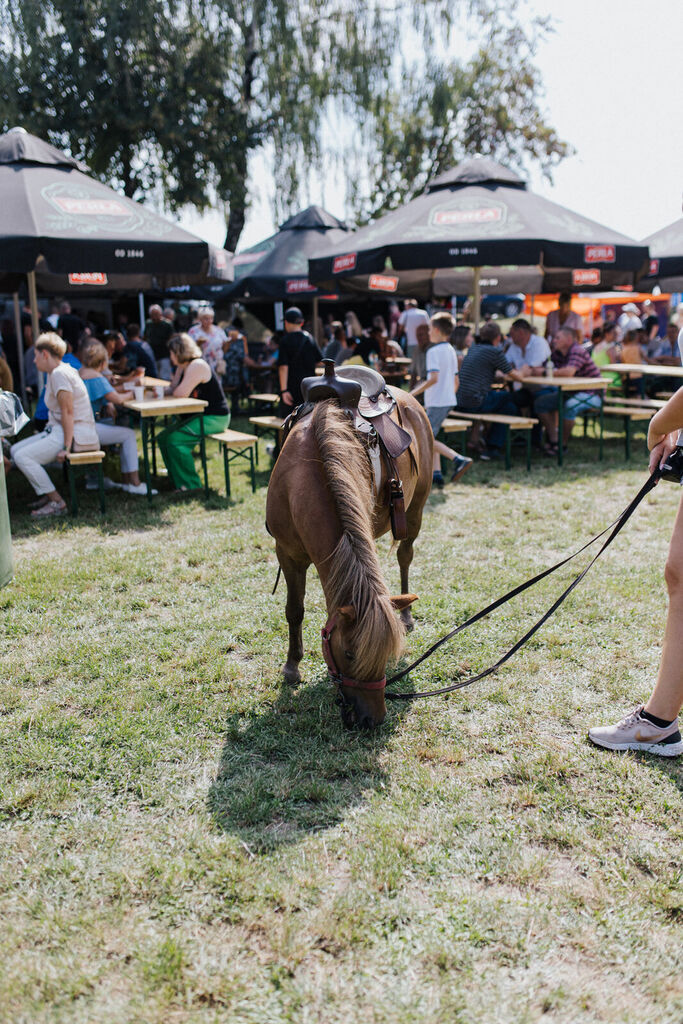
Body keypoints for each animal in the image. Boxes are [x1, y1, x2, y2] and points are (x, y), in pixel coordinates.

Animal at [266, 385, 432, 729]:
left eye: (386, 654)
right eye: (351, 654)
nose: (374, 719)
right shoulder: (286, 554)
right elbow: (294, 610)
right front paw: (292, 667)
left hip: (416, 511)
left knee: (405, 557)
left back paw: (407, 614)